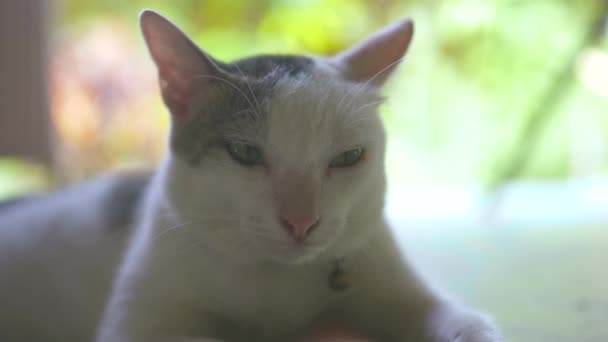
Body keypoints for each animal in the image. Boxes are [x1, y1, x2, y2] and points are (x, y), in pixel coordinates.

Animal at [0, 8, 504, 342]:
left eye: (348, 157)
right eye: (244, 152)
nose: (302, 222)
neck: (274, 279)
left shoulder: (396, 287)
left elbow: (467, 324)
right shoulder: (142, 317)